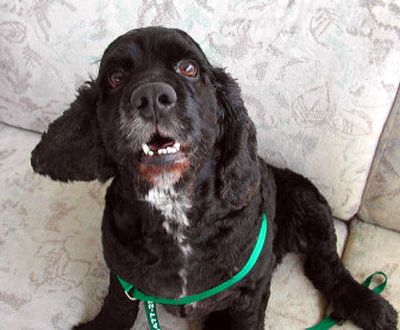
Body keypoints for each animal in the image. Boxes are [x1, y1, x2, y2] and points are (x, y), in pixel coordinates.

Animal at [31, 27, 396, 328]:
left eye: (188, 68)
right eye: (116, 78)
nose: (151, 96)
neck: (174, 210)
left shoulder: (251, 293)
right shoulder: (123, 277)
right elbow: (117, 309)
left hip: (310, 203)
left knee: (326, 266)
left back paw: (370, 306)